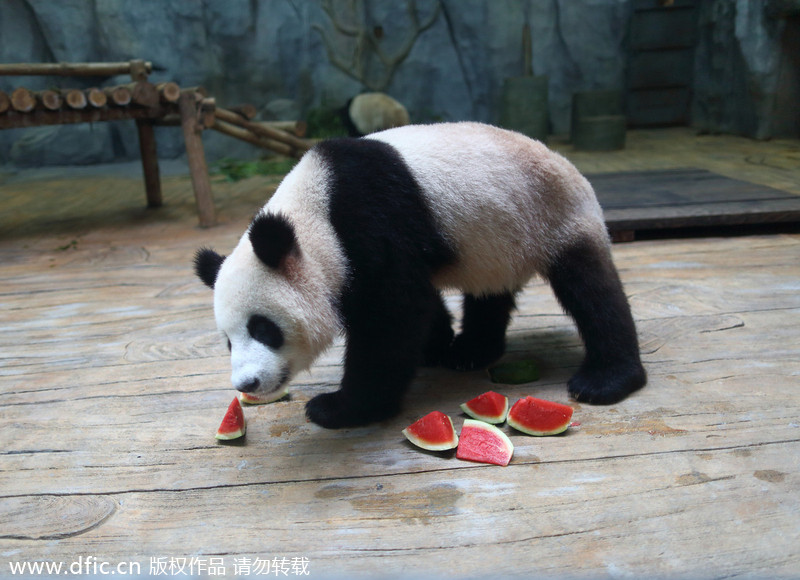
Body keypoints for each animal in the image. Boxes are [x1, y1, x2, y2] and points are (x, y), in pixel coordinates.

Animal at [197, 122, 648, 428]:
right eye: (227, 341)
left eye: (263, 328)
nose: (247, 383)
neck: (315, 213)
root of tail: (568, 165)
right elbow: (418, 301)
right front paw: (435, 345)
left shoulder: (371, 218)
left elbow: (392, 316)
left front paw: (340, 407)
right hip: (499, 239)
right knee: (491, 291)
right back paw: (471, 351)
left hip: (555, 216)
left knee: (592, 292)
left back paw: (606, 380)